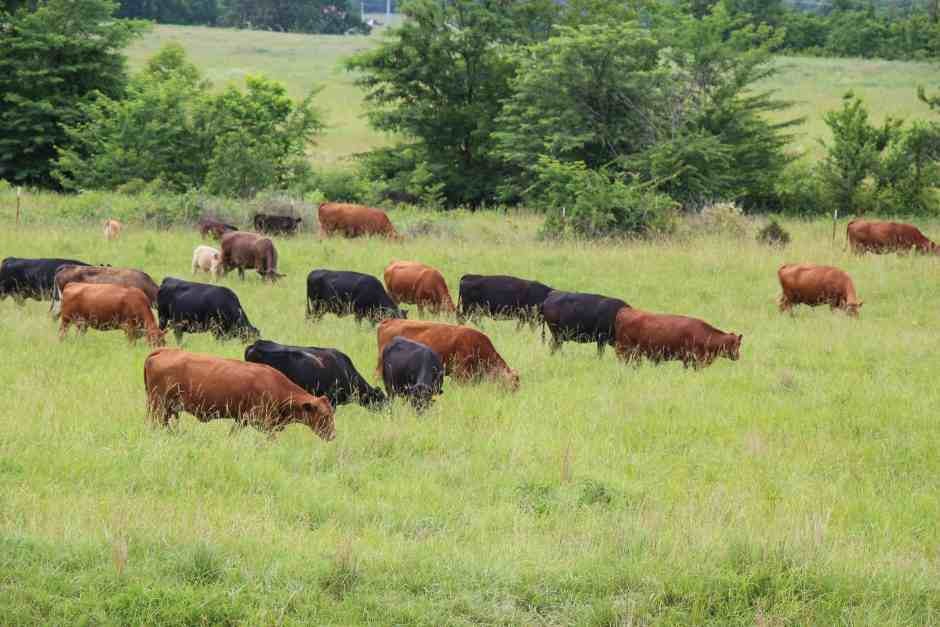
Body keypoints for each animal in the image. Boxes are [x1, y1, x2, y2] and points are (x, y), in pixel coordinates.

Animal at [141, 348, 336, 442]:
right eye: (325, 415)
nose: (333, 436)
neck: (276, 385)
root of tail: (164, 350)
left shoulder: (241, 419)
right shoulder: (263, 422)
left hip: (165, 409)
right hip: (158, 405)